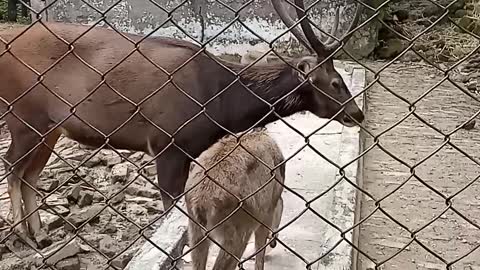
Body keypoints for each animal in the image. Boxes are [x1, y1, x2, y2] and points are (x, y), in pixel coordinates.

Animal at [0, 0, 362, 245]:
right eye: (335, 82)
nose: (356, 114)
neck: (220, 104)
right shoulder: (167, 144)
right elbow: (170, 211)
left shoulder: (188, 150)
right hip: (23, 114)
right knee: (12, 165)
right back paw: (22, 234)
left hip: (49, 127)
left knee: (30, 174)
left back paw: (40, 232)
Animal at [185, 129, 284, 270]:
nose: (274, 243)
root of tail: (201, 201)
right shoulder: (266, 213)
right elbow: (260, 252)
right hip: (238, 232)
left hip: (195, 228)